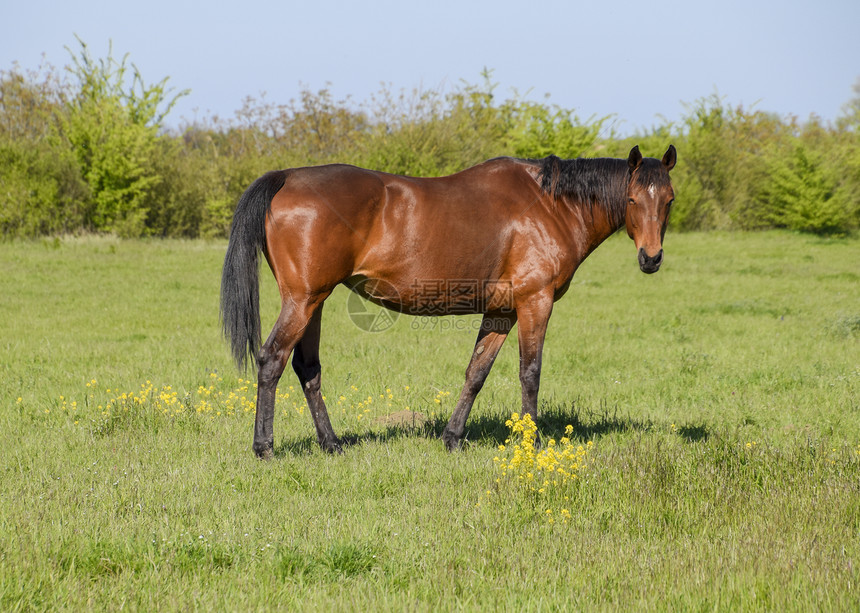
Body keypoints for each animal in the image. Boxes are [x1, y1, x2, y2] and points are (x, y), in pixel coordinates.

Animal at [218, 146, 676, 456]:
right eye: (633, 199)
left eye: (668, 199)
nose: (651, 258)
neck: (551, 205)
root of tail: (288, 176)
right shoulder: (535, 302)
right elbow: (530, 373)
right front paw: (532, 441)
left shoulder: (501, 311)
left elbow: (476, 372)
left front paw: (452, 438)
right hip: (302, 301)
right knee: (272, 359)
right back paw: (264, 446)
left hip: (314, 303)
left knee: (306, 367)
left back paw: (331, 443)